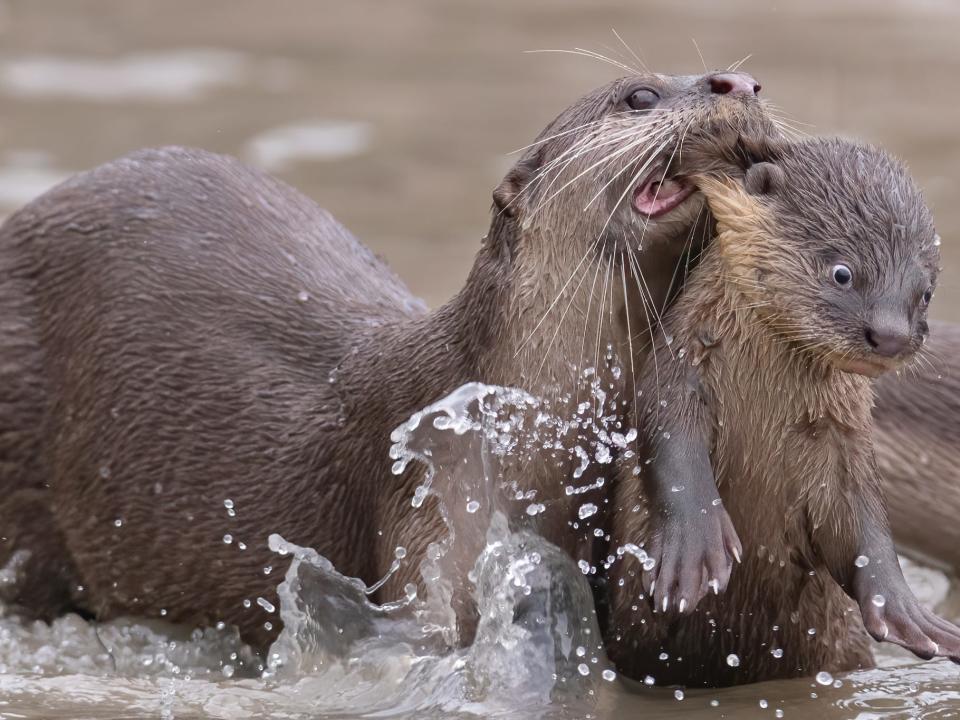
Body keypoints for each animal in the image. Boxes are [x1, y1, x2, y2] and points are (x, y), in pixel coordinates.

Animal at [608, 136, 960, 688]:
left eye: (924, 293)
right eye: (842, 272)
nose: (892, 335)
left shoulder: (844, 438)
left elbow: (864, 523)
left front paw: (908, 612)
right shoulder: (678, 374)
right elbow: (672, 447)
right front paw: (695, 549)